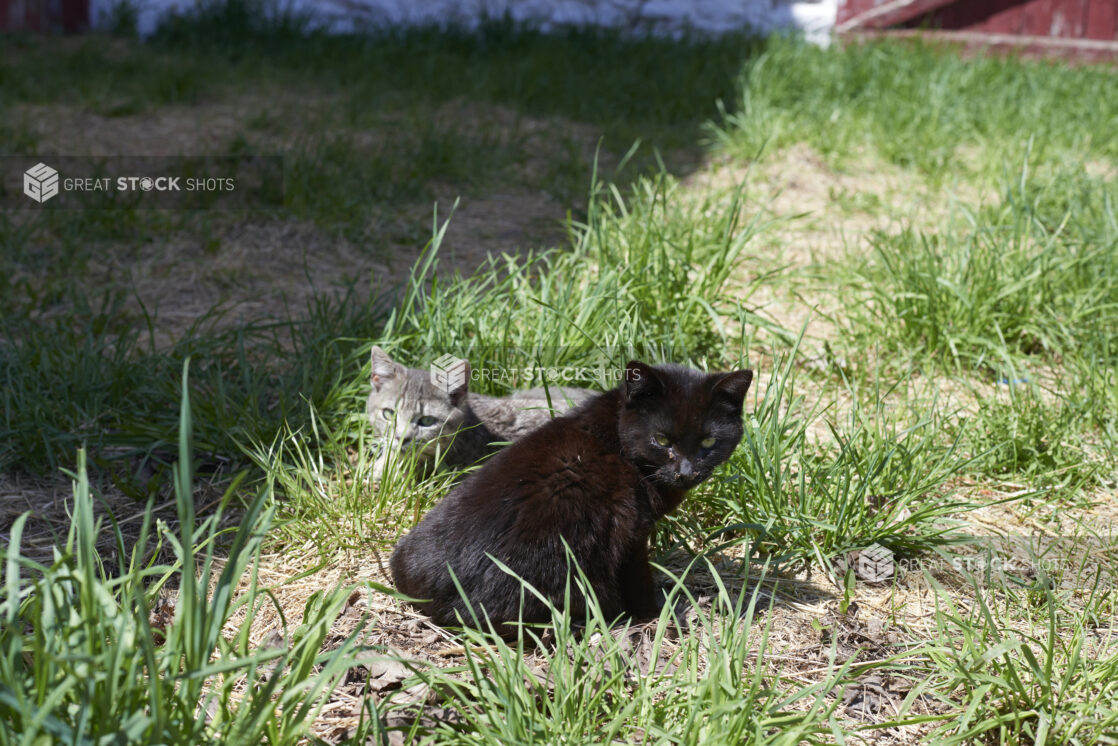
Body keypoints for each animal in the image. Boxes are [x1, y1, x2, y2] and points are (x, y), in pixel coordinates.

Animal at [389, 357, 755, 626]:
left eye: (708, 442)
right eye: (662, 440)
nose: (686, 470)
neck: (619, 437)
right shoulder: (633, 533)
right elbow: (638, 577)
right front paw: (653, 613)